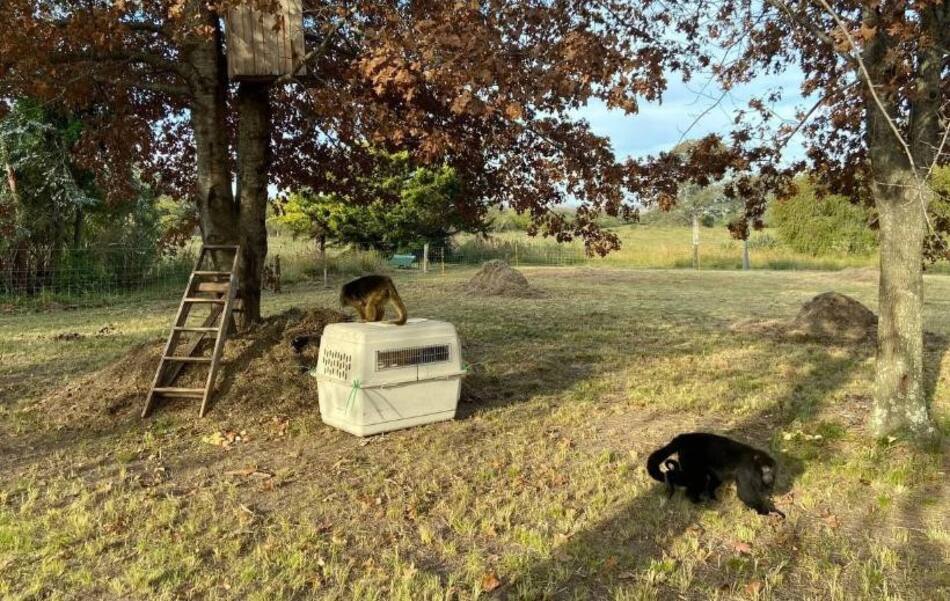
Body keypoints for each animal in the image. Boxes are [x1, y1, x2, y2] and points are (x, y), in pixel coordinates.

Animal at [647, 432, 785, 518]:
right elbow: (746, 494)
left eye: (772, 470)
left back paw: (709, 496)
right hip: (690, 456)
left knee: (710, 479)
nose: (770, 476)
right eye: (766, 469)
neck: (756, 460)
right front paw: (770, 512)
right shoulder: (747, 470)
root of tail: (684, 437)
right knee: (696, 478)